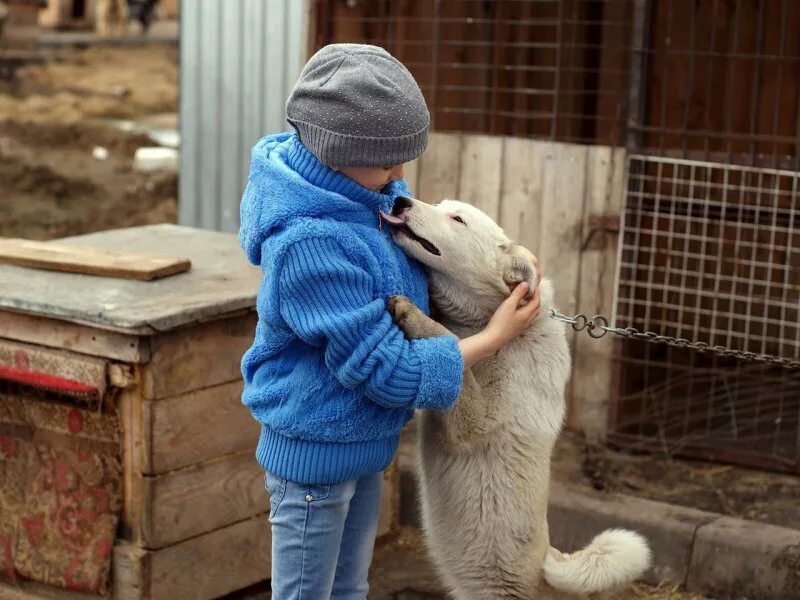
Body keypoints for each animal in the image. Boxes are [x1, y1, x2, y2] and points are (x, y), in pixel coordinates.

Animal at [384, 199, 652, 600]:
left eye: (457, 219)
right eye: (443, 205)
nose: (401, 201)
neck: (491, 326)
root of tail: (552, 568)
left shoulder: (475, 424)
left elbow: (451, 346)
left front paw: (415, 315)